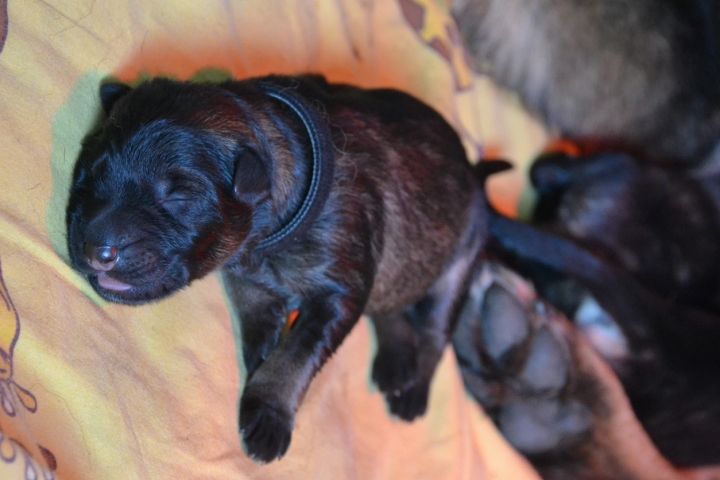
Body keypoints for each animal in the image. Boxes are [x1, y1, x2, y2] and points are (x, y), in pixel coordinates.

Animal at [66, 74, 487, 462]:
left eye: (179, 195)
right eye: (88, 170)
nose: (95, 248)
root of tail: (473, 170)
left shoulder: (342, 286)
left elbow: (297, 355)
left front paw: (269, 415)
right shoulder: (246, 267)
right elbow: (255, 304)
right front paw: (262, 348)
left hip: (461, 260)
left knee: (435, 334)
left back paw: (412, 390)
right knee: (391, 304)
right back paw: (396, 362)